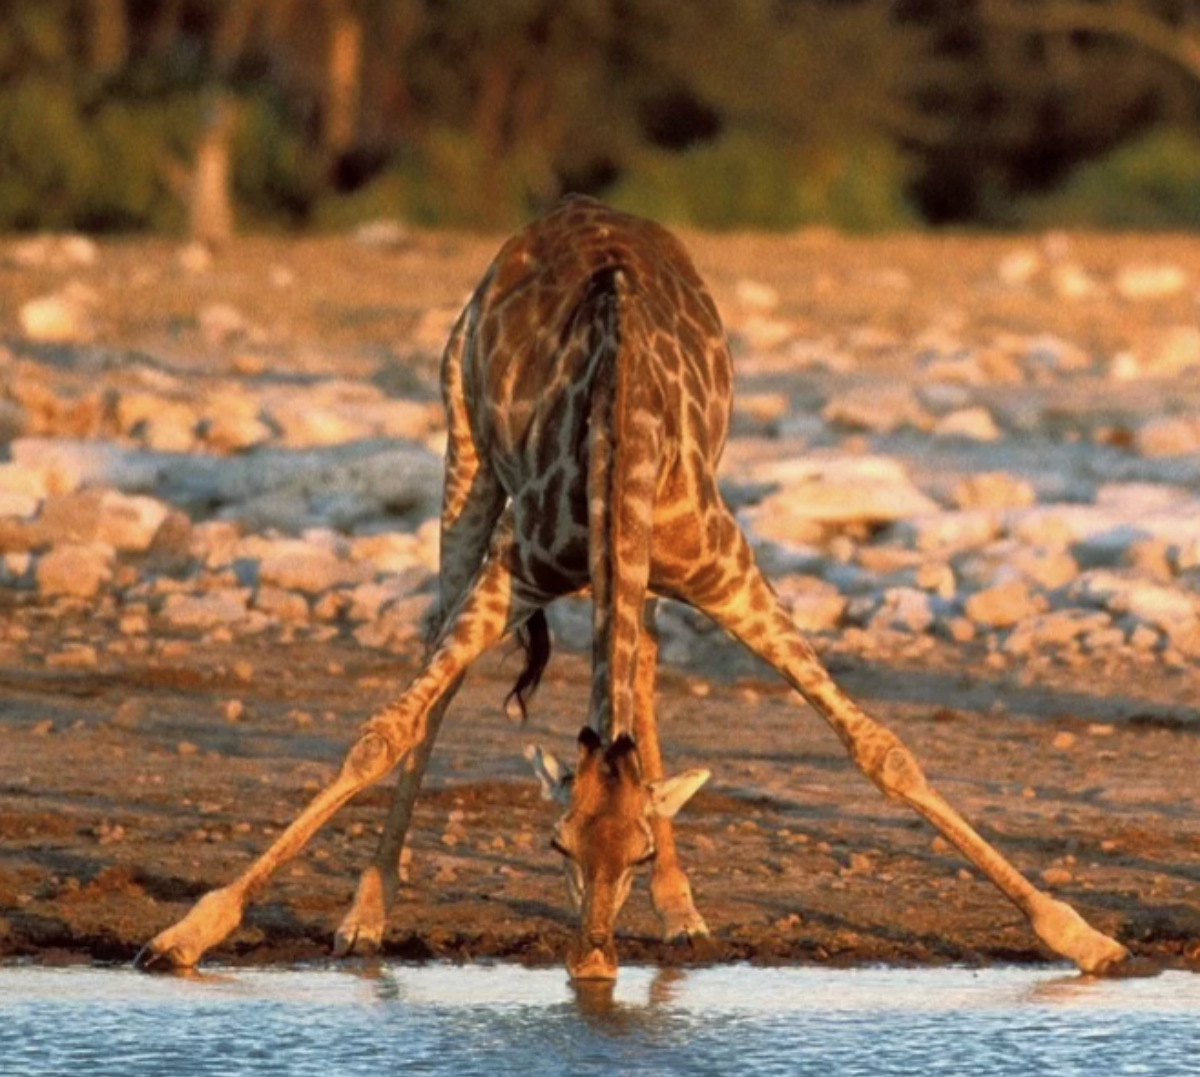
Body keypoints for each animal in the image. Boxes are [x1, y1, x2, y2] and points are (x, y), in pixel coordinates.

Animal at [136, 193, 1128, 973]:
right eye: (554, 842)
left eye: (640, 850)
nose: (593, 963)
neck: (621, 434)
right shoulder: (519, 567)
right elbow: (384, 731)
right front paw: (189, 932)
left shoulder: (727, 568)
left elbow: (881, 749)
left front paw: (1081, 936)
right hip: (464, 449)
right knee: (441, 662)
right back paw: (367, 914)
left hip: (634, 560)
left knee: (641, 666)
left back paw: (685, 914)